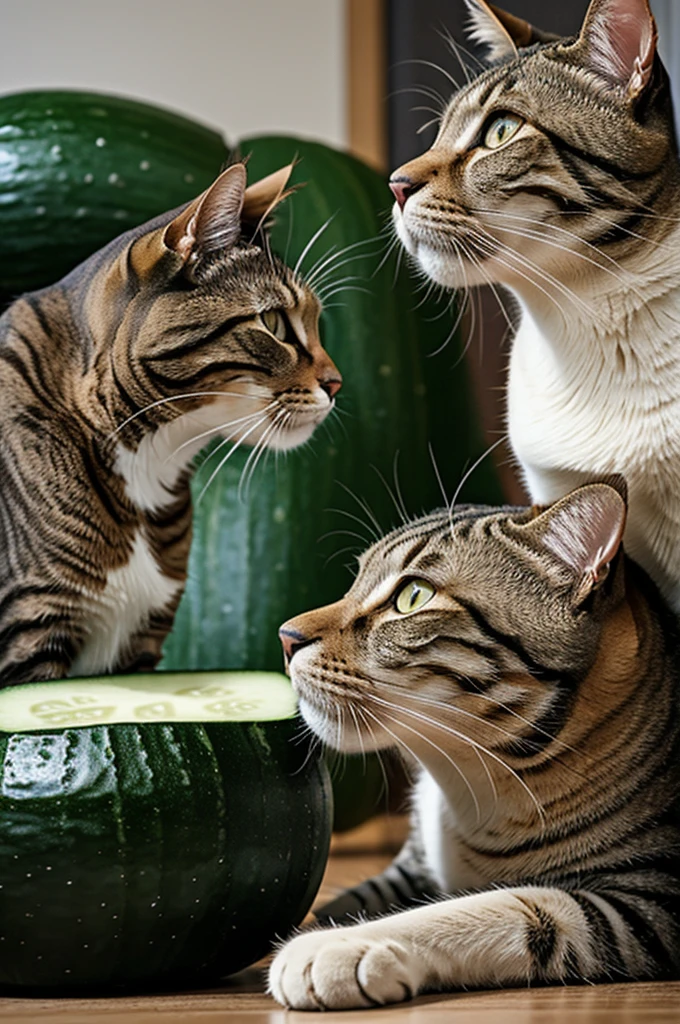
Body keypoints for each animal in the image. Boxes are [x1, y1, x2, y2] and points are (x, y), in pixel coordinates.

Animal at [270, 479, 680, 1007]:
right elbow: (346, 898)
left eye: (413, 597)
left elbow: (501, 906)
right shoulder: (411, 864)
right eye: (356, 578)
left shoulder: (649, 903)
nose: (285, 636)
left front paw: (336, 945)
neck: (467, 796)